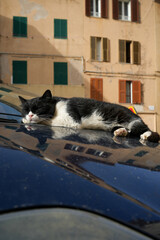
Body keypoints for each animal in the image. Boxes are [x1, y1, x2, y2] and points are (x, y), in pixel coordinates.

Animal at [18, 89, 159, 142]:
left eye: (38, 108)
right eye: (25, 110)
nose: (30, 115)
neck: (56, 106)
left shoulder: (71, 120)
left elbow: (48, 120)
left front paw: (27, 121)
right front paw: (25, 119)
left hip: (132, 120)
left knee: (144, 130)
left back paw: (146, 135)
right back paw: (120, 132)